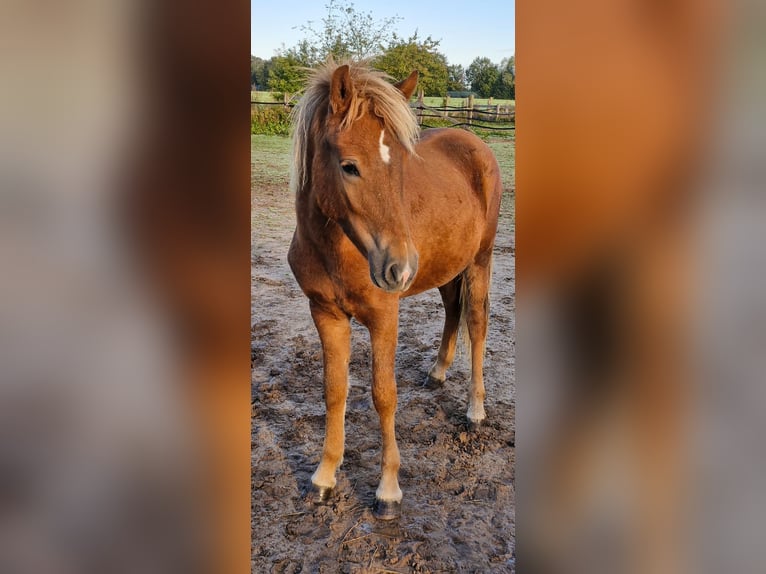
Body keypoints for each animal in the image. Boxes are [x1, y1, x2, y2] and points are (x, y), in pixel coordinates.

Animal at [288, 60, 504, 520]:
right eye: (349, 166)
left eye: (402, 166)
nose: (399, 268)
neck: (336, 250)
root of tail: (476, 143)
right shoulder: (325, 314)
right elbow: (334, 390)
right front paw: (324, 476)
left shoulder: (384, 316)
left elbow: (384, 395)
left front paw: (388, 490)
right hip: (446, 268)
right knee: (453, 310)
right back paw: (438, 372)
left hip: (479, 260)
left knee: (477, 323)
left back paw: (475, 410)